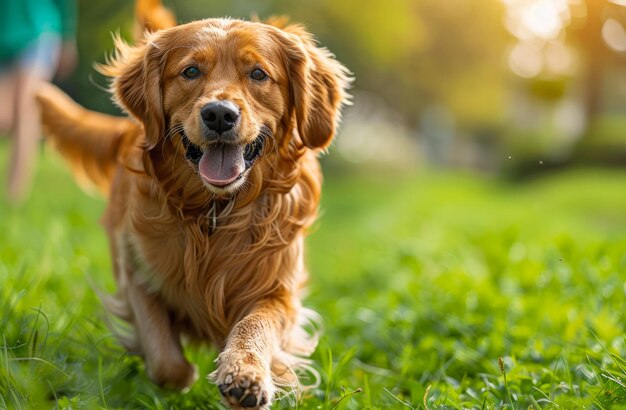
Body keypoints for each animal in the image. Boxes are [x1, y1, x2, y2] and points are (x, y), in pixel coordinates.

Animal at [36, 1, 348, 408]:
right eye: (190, 71)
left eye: (259, 74)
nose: (219, 113)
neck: (213, 211)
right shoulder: (137, 274)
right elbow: (166, 359)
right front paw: (187, 376)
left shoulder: (277, 290)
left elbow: (254, 326)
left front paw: (245, 375)